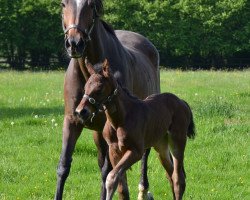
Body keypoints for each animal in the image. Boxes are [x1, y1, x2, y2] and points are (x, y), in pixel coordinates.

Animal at [55, 0, 160, 199]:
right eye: (63, 4)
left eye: (90, 5)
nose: (74, 43)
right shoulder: (72, 121)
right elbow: (64, 166)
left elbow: (108, 171)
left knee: (144, 153)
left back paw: (143, 190)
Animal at [75, 59, 194, 200]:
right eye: (85, 87)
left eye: (99, 88)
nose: (80, 111)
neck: (120, 120)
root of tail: (182, 102)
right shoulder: (114, 151)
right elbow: (121, 188)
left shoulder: (136, 151)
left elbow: (111, 177)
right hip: (160, 146)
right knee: (170, 174)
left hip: (177, 140)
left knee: (178, 178)